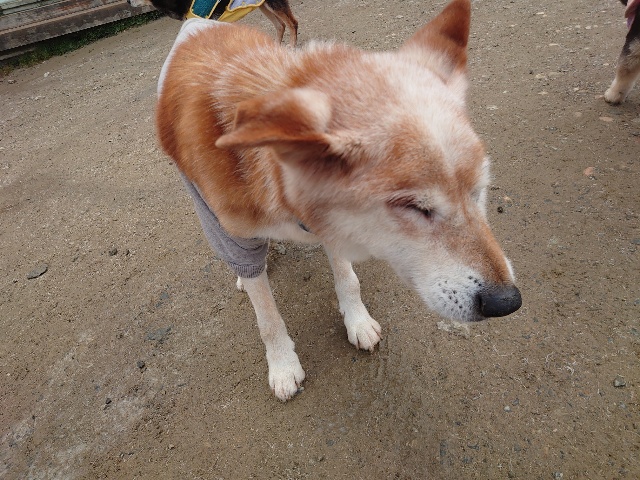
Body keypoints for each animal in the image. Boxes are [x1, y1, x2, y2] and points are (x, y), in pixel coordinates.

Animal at [155, 0, 522, 401]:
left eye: (478, 191)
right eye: (415, 207)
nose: (507, 303)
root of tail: (199, 23)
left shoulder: (333, 225)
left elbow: (348, 279)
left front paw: (357, 320)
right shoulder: (233, 231)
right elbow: (267, 317)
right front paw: (282, 365)